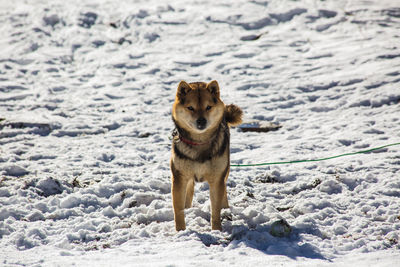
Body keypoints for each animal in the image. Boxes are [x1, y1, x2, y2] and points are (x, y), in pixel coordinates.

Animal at [170, 80, 242, 231]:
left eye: (208, 107)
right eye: (190, 108)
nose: (201, 121)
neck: (199, 142)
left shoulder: (217, 177)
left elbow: (215, 208)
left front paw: (217, 230)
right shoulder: (179, 176)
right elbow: (178, 208)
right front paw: (181, 231)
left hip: (225, 168)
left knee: (224, 189)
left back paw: (226, 209)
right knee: (189, 189)